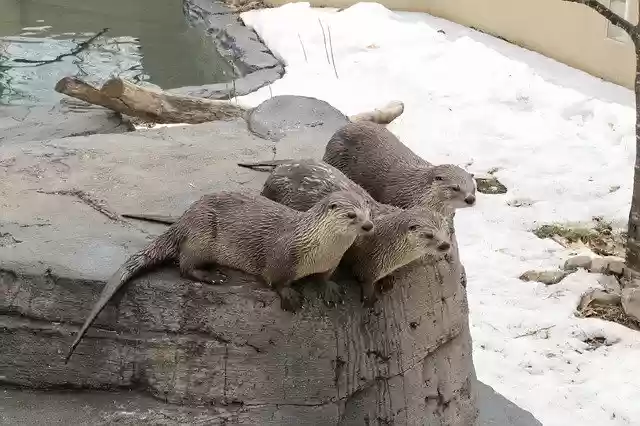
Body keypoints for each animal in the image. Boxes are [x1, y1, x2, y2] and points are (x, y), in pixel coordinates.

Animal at [65, 190, 373, 363]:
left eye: (370, 210)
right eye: (351, 215)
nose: (369, 226)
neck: (320, 249)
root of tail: (184, 219)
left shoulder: (332, 262)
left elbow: (324, 277)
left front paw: (329, 288)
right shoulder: (281, 255)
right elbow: (275, 279)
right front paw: (289, 295)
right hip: (201, 237)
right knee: (184, 264)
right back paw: (212, 276)